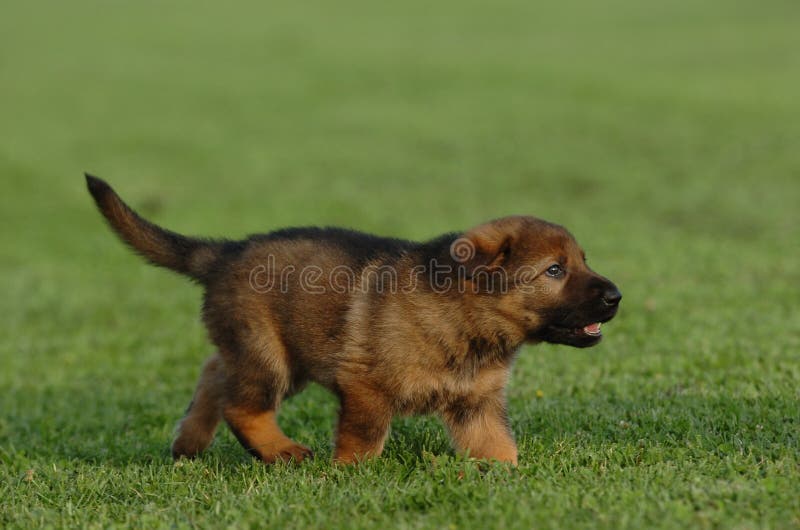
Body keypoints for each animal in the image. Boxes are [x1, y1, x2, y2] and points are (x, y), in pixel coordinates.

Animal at [89, 172, 624, 462]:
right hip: (270, 354)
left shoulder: (478, 403)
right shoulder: (364, 386)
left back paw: (190, 444)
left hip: (273, 353)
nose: (617, 295)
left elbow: (498, 446)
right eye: (554, 270)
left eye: (583, 261)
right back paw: (283, 453)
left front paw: (505, 476)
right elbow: (363, 440)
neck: (467, 320)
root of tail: (226, 253)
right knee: (241, 405)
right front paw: (347, 473)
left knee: (215, 373)